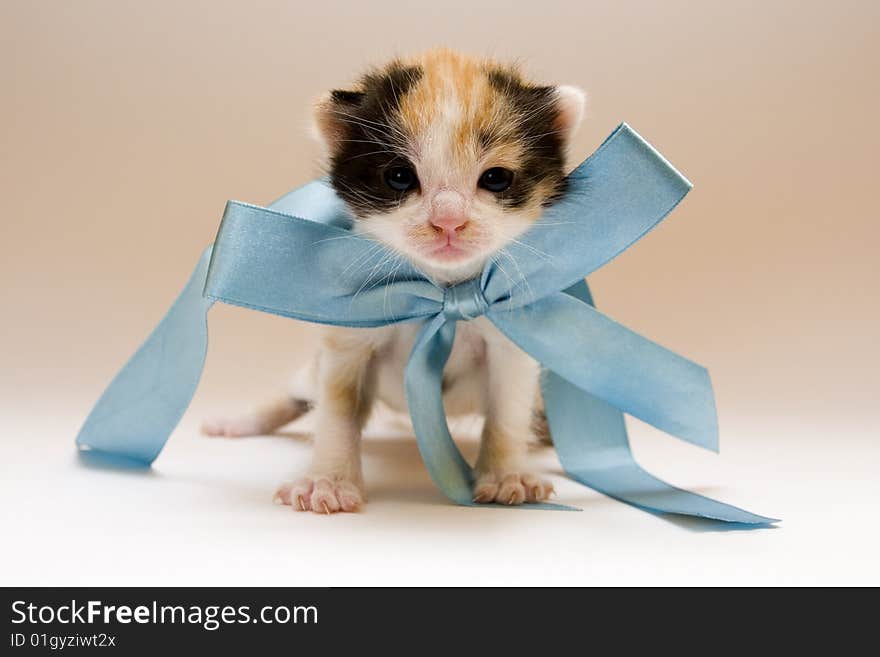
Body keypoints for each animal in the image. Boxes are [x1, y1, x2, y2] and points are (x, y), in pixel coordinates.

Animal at [204, 50, 588, 512]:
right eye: (400, 177)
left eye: (496, 178)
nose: (448, 220)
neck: (441, 292)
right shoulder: (348, 336)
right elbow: (336, 408)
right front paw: (327, 482)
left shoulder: (509, 342)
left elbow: (507, 411)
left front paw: (506, 475)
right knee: (300, 393)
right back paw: (241, 422)